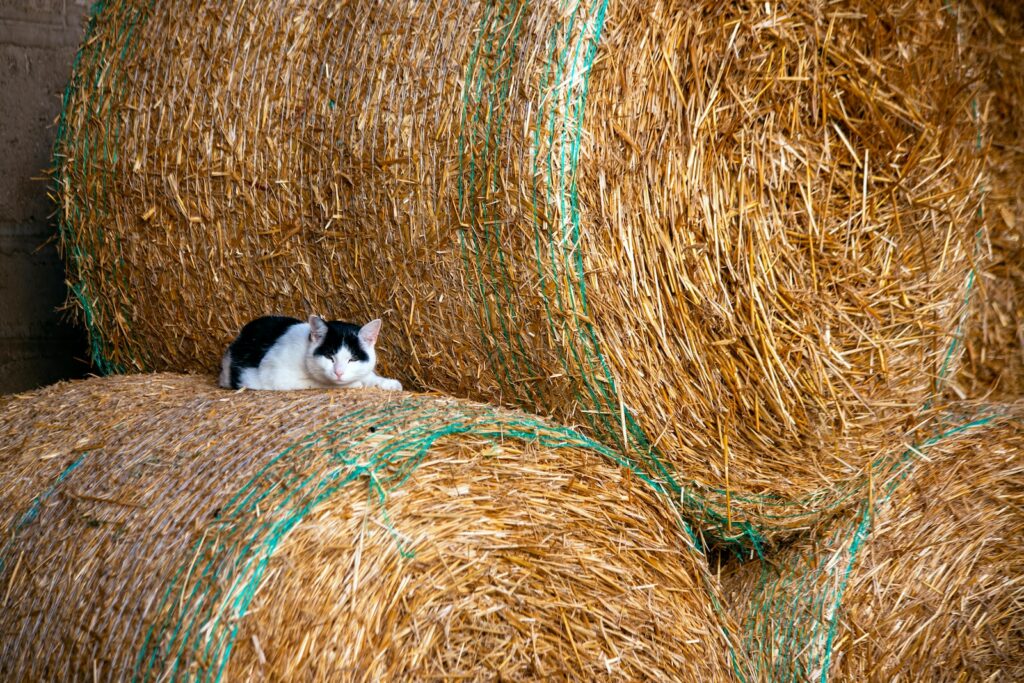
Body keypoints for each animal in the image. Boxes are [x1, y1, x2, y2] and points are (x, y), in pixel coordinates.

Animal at [218, 315, 401, 389]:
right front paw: (354, 384)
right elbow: (318, 383)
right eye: (329, 357)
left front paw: (388, 383)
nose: (339, 373)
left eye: (352, 359)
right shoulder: (276, 377)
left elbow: (369, 376)